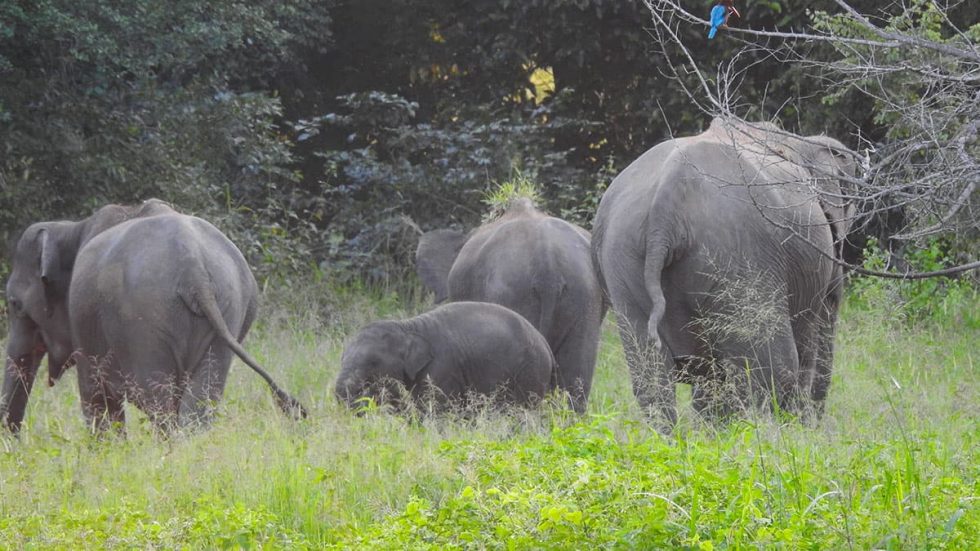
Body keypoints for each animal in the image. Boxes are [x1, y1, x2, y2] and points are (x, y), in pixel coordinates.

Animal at [0, 199, 306, 436]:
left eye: (15, 304)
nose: (13, 443)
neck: (72, 228)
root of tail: (194, 269)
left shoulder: (84, 325)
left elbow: (95, 394)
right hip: (228, 310)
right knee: (200, 401)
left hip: (143, 324)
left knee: (159, 403)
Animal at [334, 302, 556, 414]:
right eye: (342, 358)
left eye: (373, 363)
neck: (407, 326)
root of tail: (545, 344)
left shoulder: (441, 369)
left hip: (530, 372)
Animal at [588, 118, 856, 434]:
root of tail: (664, 212)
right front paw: (804, 431)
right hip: (743, 259)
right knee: (773, 368)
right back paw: (765, 436)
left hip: (623, 259)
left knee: (652, 376)